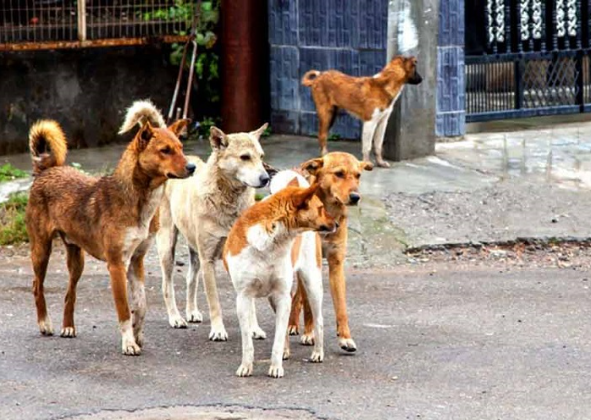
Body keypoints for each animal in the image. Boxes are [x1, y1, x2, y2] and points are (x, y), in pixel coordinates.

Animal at [26, 101, 193, 354]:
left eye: (181, 148)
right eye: (165, 150)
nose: (192, 167)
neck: (138, 199)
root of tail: (46, 170)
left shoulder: (136, 261)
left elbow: (141, 305)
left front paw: (137, 334)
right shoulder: (116, 265)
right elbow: (124, 310)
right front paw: (128, 343)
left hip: (77, 260)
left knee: (69, 293)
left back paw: (68, 327)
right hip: (41, 250)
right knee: (37, 285)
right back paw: (45, 323)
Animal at [156, 123, 270, 340]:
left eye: (261, 156)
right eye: (244, 157)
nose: (266, 178)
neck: (228, 198)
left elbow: (249, 302)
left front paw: (254, 328)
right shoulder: (208, 260)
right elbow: (214, 301)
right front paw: (218, 330)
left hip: (194, 251)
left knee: (190, 278)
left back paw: (191, 311)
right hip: (167, 245)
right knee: (167, 286)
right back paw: (175, 317)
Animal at [222, 183, 336, 378]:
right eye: (321, 208)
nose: (336, 223)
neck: (270, 240)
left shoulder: (283, 296)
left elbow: (277, 339)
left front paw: (276, 367)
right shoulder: (244, 298)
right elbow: (248, 341)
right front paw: (246, 366)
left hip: (312, 286)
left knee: (319, 321)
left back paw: (318, 353)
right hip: (274, 298)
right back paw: (286, 351)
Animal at [288, 151, 374, 352]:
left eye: (358, 175)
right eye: (339, 174)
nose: (355, 196)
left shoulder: (336, 264)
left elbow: (341, 307)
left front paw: (345, 338)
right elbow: (309, 306)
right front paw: (309, 333)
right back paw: (293, 324)